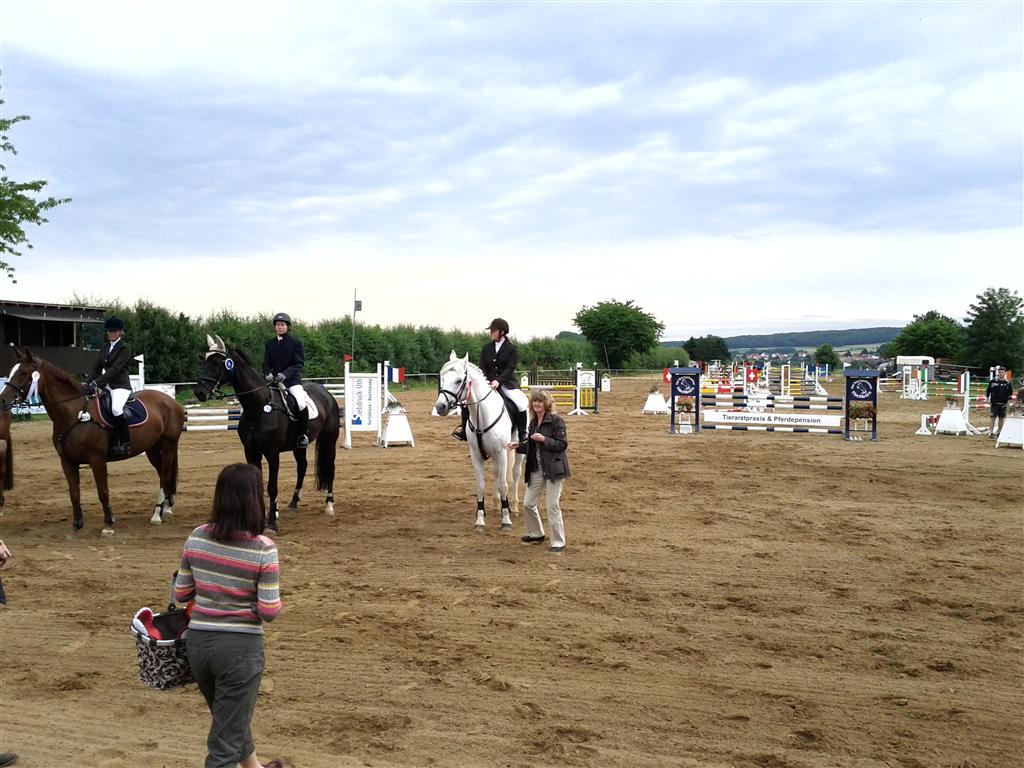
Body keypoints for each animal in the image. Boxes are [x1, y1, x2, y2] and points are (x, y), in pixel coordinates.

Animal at [0, 347, 185, 533]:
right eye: (10, 372)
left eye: (23, 372)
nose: (2, 400)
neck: (74, 413)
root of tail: (171, 401)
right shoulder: (67, 462)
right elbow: (74, 493)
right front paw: (77, 525)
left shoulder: (97, 459)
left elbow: (103, 491)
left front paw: (108, 523)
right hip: (152, 448)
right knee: (163, 473)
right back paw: (166, 508)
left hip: (168, 446)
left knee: (164, 476)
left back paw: (156, 514)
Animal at [193, 335, 340, 532]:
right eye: (205, 361)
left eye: (217, 364)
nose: (199, 392)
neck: (259, 408)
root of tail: (327, 393)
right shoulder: (251, 452)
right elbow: (258, 484)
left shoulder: (272, 453)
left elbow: (272, 487)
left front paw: (272, 522)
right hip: (299, 446)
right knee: (302, 467)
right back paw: (294, 502)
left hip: (329, 440)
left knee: (330, 468)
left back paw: (329, 505)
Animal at [434, 351, 524, 532]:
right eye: (442, 378)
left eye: (458, 381)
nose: (440, 407)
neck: (482, 415)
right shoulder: (476, 455)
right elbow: (481, 486)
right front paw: (480, 521)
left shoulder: (501, 453)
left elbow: (503, 484)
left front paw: (506, 520)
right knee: (497, 474)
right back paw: (497, 504)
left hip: (516, 451)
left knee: (515, 474)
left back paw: (514, 506)